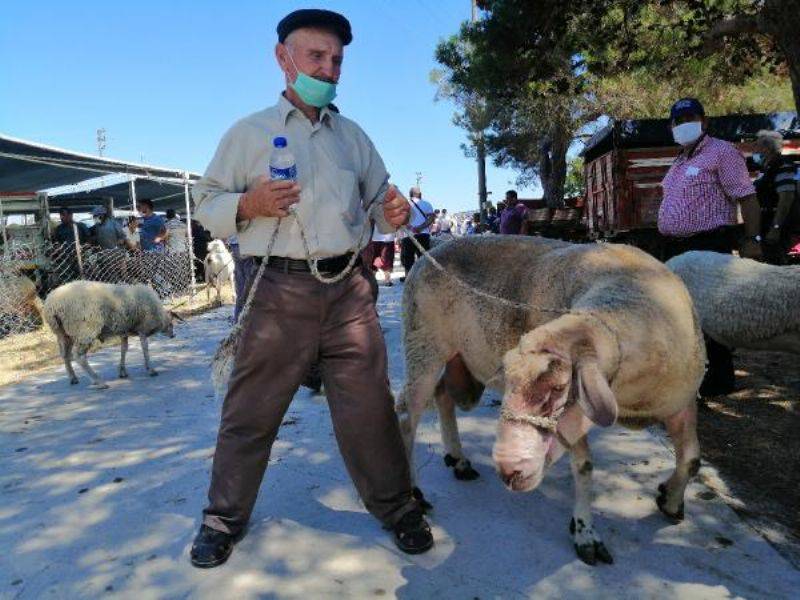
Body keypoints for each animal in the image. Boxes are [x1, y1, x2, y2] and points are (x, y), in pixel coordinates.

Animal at [43, 282, 180, 390]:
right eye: (171, 324)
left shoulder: (124, 332)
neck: (160, 315)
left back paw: (73, 378)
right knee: (79, 356)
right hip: (85, 330)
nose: (173, 335)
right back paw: (99, 382)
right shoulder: (143, 330)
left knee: (65, 355)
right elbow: (145, 349)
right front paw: (150, 369)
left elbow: (124, 349)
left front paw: (122, 371)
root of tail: (52, 305)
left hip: (64, 334)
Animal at [396, 236, 704, 568]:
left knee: (442, 395)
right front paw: (585, 534)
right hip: (423, 346)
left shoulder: (682, 403)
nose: (509, 470)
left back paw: (459, 460)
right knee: (407, 418)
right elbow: (584, 466)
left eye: (558, 388)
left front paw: (670, 500)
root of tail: (432, 250)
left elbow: (691, 460)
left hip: (456, 360)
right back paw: (414, 492)